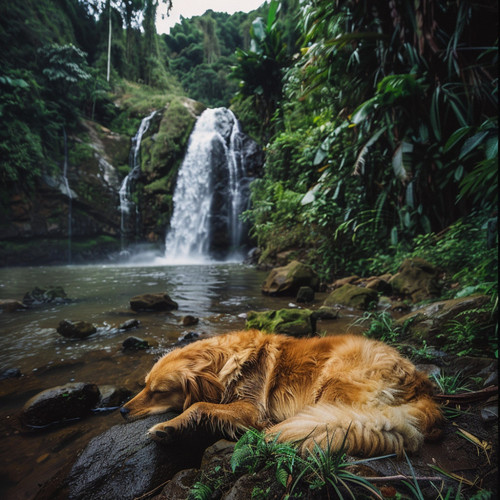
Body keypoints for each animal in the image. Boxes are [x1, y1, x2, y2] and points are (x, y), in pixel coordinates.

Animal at [121, 330, 442, 456]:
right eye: (144, 385)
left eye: (159, 392)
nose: (122, 410)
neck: (226, 361)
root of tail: (421, 386)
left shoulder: (252, 409)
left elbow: (197, 405)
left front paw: (169, 426)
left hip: (333, 380)